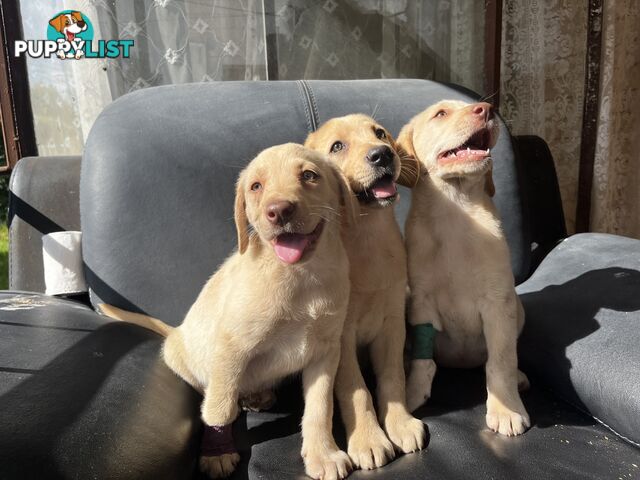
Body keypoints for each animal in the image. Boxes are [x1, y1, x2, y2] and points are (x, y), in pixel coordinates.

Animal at [102, 143, 358, 480]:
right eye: (256, 186)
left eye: (309, 176)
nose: (278, 211)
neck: (302, 278)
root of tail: (175, 331)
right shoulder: (232, 348)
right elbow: (218, 409)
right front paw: (217, 451)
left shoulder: (326, 351)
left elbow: (320, 407)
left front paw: (322, 453)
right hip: (182, 357)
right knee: (212, 394)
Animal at [304, 114, 424, 470]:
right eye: (337, 146)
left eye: (380, 133)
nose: (383, 155)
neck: (368, 237)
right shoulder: (341, 336)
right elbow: (356, 390)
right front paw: (369, 440)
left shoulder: (392, 323)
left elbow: (392, 379)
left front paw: (400, 424)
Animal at [400, 102, 528, 438]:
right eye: (440, 114)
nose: (487, 109)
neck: (456, 212)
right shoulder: (421, 303)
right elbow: (423, 362)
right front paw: (410, 395)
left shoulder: (498, 302)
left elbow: (501, 361)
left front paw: (506, 408)